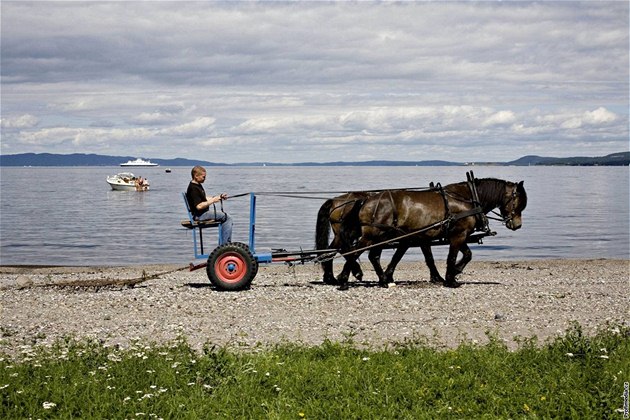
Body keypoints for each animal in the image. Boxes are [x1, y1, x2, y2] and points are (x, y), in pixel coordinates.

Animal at [336, 179, 528, 290]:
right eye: (519, 202)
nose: (517, 225)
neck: (468, 198)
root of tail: (366, 200)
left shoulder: (458, 234)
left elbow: (467, 254)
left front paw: (454, 272)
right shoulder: (458, 235)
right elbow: (452, 257)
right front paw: (451, 279)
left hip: (382, 236)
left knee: (373, 256)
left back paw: (383, 280)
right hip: (372, 236)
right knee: (354, 253)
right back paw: (344, 280)